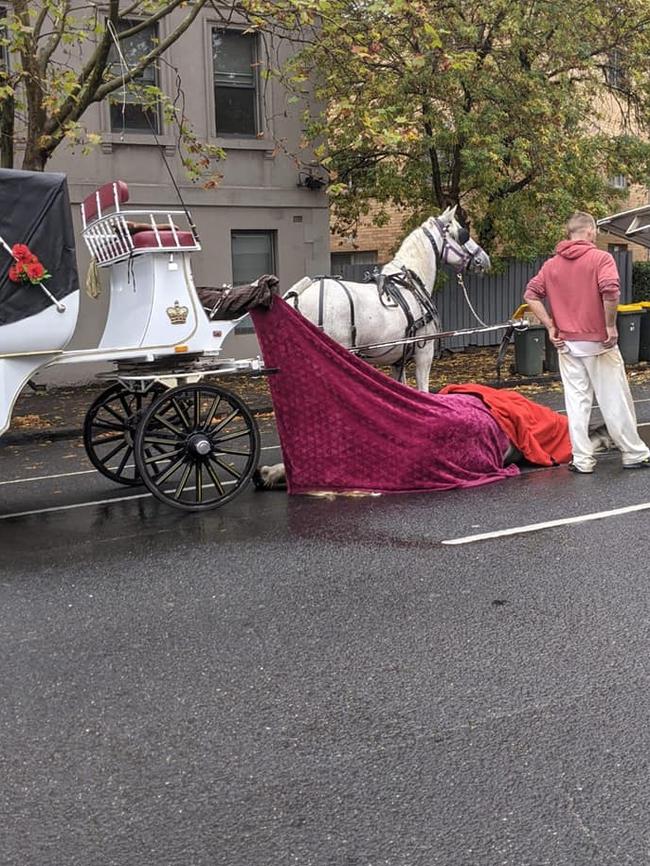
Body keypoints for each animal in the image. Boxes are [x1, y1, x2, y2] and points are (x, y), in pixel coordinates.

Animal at [286, 206, 488, 392]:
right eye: (462, 234)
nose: (484, 258)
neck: (409, 283)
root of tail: (298, 297)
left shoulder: (398, 360)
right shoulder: (424, 353)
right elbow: (423, 390)